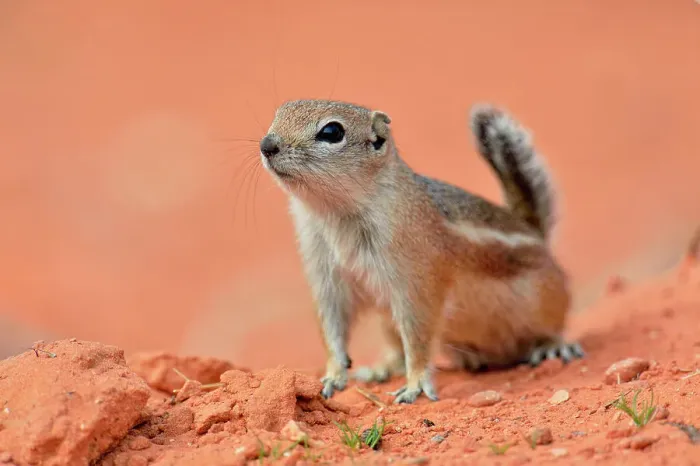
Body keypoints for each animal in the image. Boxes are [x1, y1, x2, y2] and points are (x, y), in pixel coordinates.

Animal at [258, 99, 583, 404]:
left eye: (331, 132)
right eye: (280, 112)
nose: (267, 144)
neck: (333, 214)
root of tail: (535, 233)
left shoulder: (417, 283)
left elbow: (418, 339)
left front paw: (414, 386)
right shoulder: (326, 276)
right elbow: (332, 327)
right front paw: (333, 376)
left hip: (545, 300)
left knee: (554, 325)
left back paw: (554, 346)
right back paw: (380, 369)